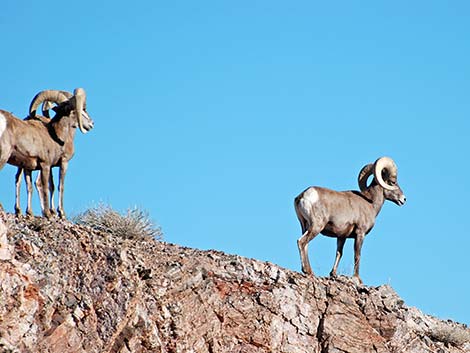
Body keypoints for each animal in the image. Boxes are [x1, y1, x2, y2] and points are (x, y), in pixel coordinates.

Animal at [0, 87, 93, 217]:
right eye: (81, 110)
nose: (91, 123)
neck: (56, 134)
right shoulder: (52, 164)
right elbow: (54, 187)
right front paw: (56, 213)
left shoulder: (33, 166)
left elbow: (40, 186)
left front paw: (32, 212)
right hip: (4, 156)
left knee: (18, 180)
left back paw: (19, 210)